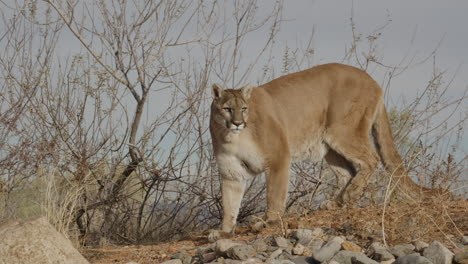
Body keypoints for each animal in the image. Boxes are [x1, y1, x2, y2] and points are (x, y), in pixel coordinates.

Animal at [210, 63, 440, 240]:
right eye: (227, 109)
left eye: (244, 108)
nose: (238, 123)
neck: (233, 137)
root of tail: (371, 78)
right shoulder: (231, 172)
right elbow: (230, 204)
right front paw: (224, 232)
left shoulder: (279, 158)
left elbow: (274, 195)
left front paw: (270, 222)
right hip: (328, 145)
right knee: (347, 172)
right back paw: (337, 201)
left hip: (342, 131)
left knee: (371, 159)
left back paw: (348, 196)